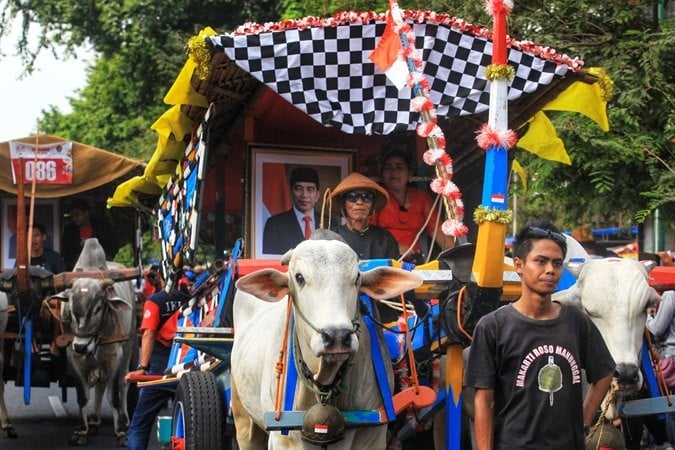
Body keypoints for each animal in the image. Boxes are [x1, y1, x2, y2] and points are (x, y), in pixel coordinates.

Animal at [53, 239, 138, 446]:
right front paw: (82, 431)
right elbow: (83, 396)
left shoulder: (115, 357)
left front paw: (120, 432)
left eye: (98, 308)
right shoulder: (74, 359)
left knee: (123, 383)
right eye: (70, 308)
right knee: (100, 385)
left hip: (129, 345)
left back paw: (124, 419)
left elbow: (114, 395)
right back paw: (94, 420)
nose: (81, 346)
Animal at [232, 232, 422, 450]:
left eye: (357, 278)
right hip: (242, 416)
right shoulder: (281, 439)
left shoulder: (374, 435)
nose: (337, 336)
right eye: (299, 277)